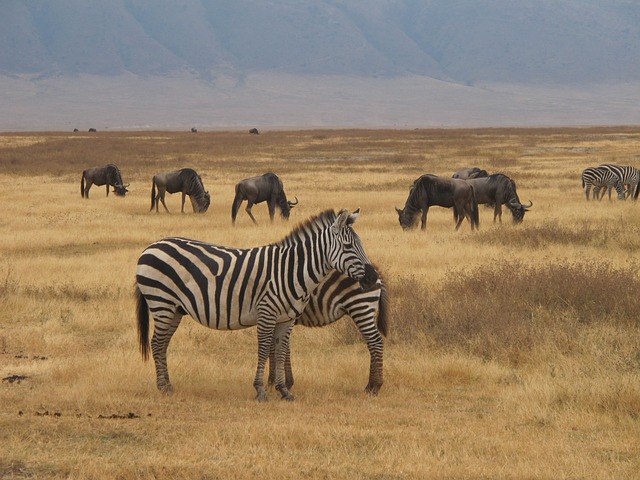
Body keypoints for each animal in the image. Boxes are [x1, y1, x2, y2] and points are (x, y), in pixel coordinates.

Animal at [266, 266, 388, 394]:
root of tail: (375, 271)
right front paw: (286, 382)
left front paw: (272, 383)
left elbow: (274, 349)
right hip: (364, 310)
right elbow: (282, 348)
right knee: (371, 343)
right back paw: (369, 386)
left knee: (376, 342)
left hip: (360, 306)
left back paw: (376, 386)